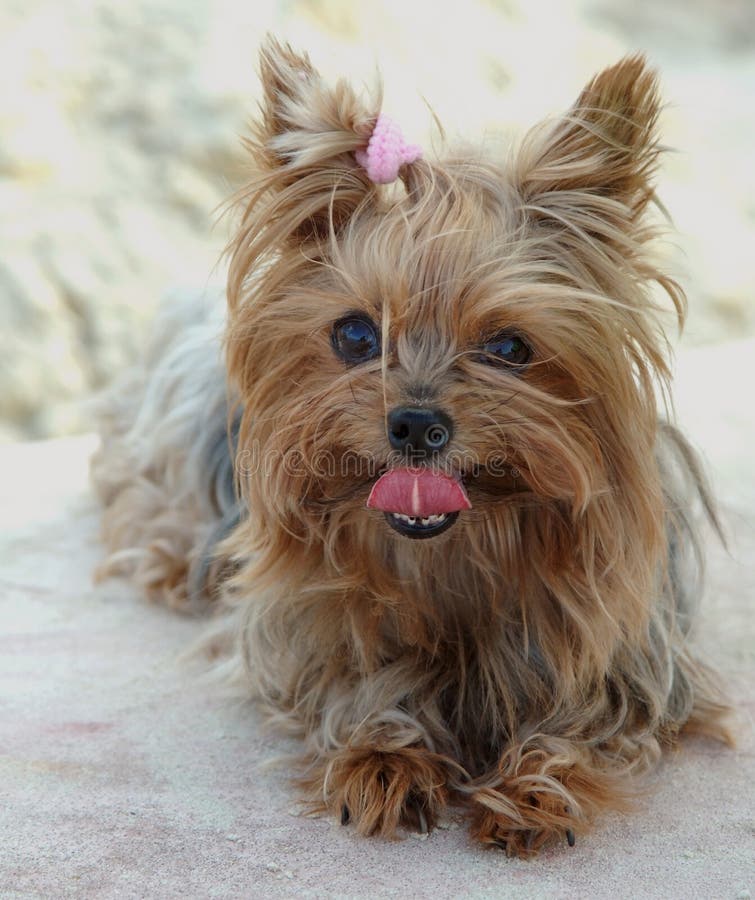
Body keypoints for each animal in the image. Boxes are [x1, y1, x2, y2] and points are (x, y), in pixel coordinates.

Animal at [90, 38, 732, 856]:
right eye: (355, 335)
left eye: (509, 347)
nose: (416, 424)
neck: (455, 553)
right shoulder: (302, 632)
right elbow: (355, 685)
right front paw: (383, 757)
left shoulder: (639, 659)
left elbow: (588, 719)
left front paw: (533, 788)